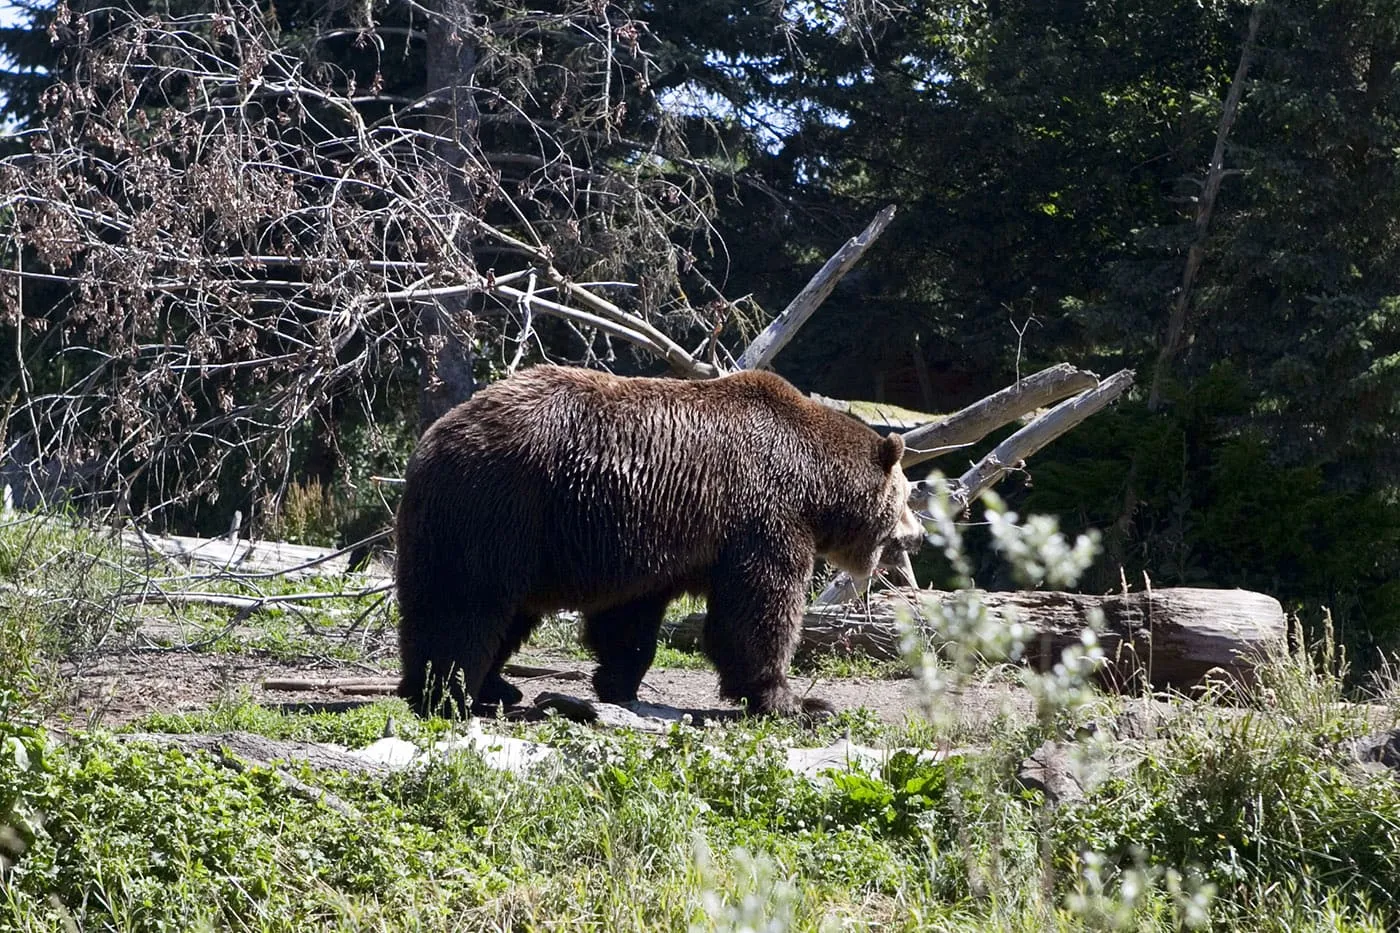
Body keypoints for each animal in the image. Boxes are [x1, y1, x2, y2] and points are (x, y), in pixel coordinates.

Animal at [394, 361, 924, 711]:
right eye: (906, 495)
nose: (917, 536)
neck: (815, 484)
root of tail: (432, 439)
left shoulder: (654, 543)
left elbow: (628, 621)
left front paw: (617, 683)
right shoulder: (761, 515)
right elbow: (758, 608)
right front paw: (796, 702)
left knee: (496, 611)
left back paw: (493, 687)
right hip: (500, 509)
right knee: (469, 603)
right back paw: (447, 691)